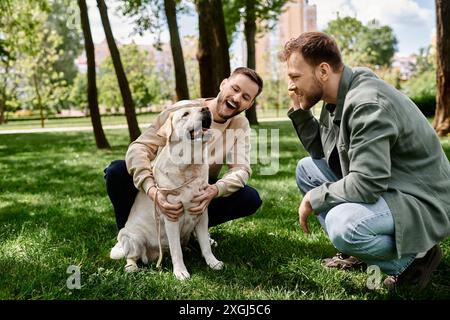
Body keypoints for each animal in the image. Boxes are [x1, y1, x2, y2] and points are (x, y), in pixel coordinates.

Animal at [110, 106, 223, 278]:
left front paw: (213, 263)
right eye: (185, 114)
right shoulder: (171, 217)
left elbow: (205, 244)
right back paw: (131, 267)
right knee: (132, 256)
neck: (189, 165)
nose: (206, 108)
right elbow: (176, 250)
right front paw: (180, 272)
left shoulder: (202, 213)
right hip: (129, 236)